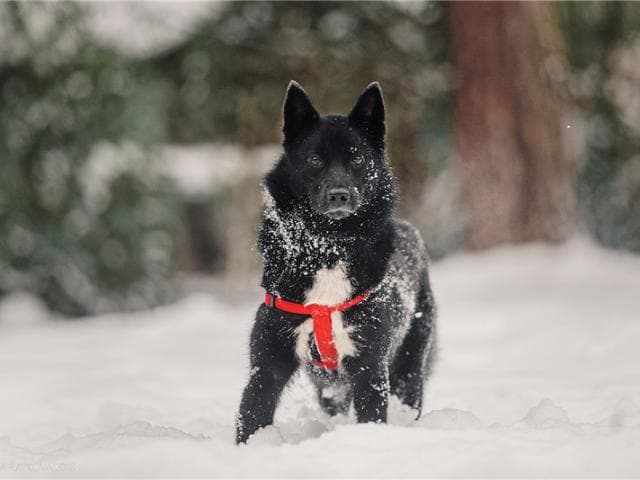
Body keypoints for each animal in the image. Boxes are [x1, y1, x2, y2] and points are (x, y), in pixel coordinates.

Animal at [235, 80, 436, 444]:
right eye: (314, 159)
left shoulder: (370, 367)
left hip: (409, 366)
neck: (327, 247)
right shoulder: (268, 363)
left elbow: (372, 416)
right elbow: (252, 414)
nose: (339, 194)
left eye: (357, 158)